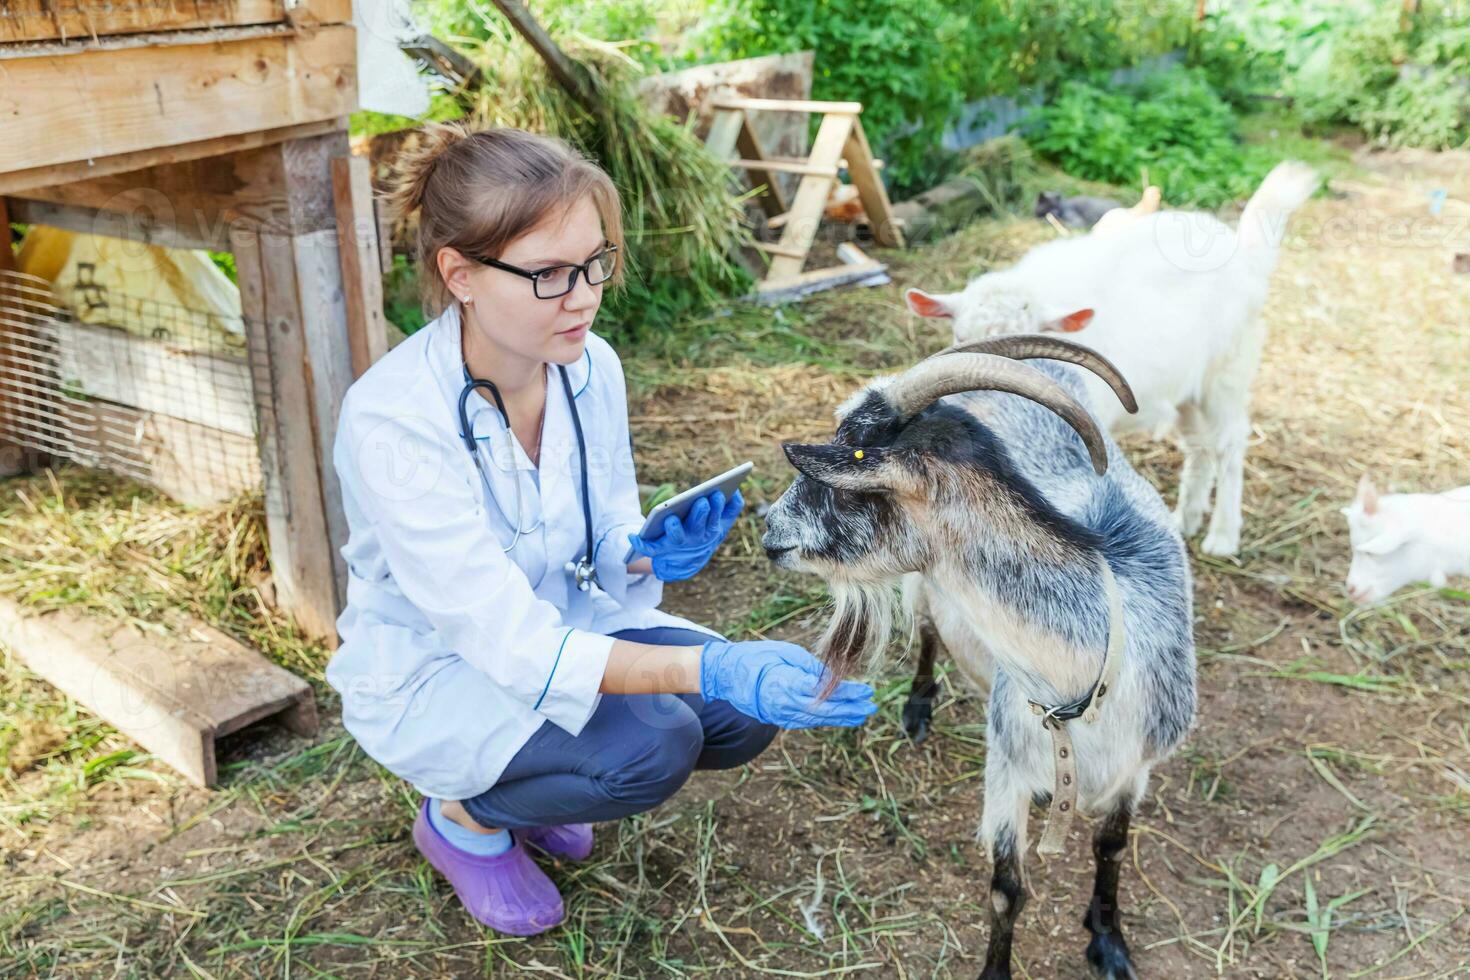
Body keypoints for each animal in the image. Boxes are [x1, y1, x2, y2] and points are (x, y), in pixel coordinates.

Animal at [764, 337, 1199, 980]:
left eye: (844, 480)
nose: (768, 528)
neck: (1087, 682)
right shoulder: (1008, 767)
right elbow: (1006, 889)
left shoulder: (1137, 766)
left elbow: (1111, 847)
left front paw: (1109, 941)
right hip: (925, 590)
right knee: (927, 632)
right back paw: (918, 708)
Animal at [905, 164, 1323, 555]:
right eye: (961, 337)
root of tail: (1241, 251)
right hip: (1186, 388)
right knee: (1199, 445)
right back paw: (1185, 519)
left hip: (1228, 371)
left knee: (1230, 441)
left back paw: (1222, 535)